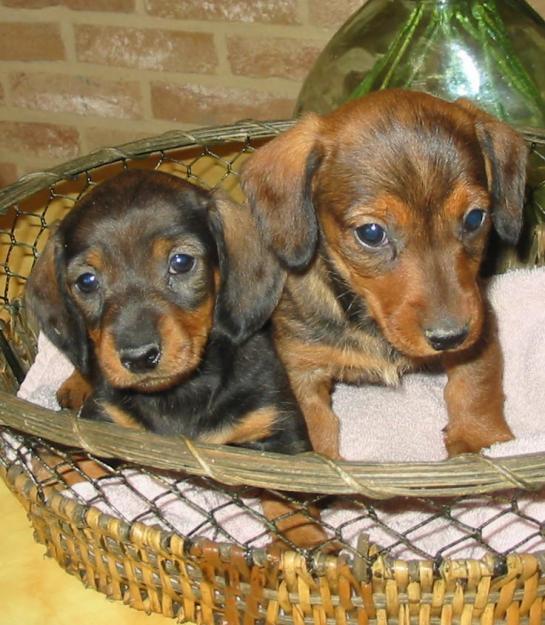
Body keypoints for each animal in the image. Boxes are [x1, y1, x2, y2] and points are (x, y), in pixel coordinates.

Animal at [24, 168, 324, 548]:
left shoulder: (280, 433)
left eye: (181, 262)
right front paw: (49, 467)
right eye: (87, 281)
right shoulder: (107, 425)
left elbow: (290, 500)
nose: (139, 357)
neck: (181, 390)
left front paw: (306, 543)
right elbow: (78, 457)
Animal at [239, 88, 528, 458]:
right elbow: (314, 426)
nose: (450, 337)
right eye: (371, 233)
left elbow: (477, 382)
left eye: (475, 217)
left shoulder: (481, 323)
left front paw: (480, 438)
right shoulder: (300, 368)